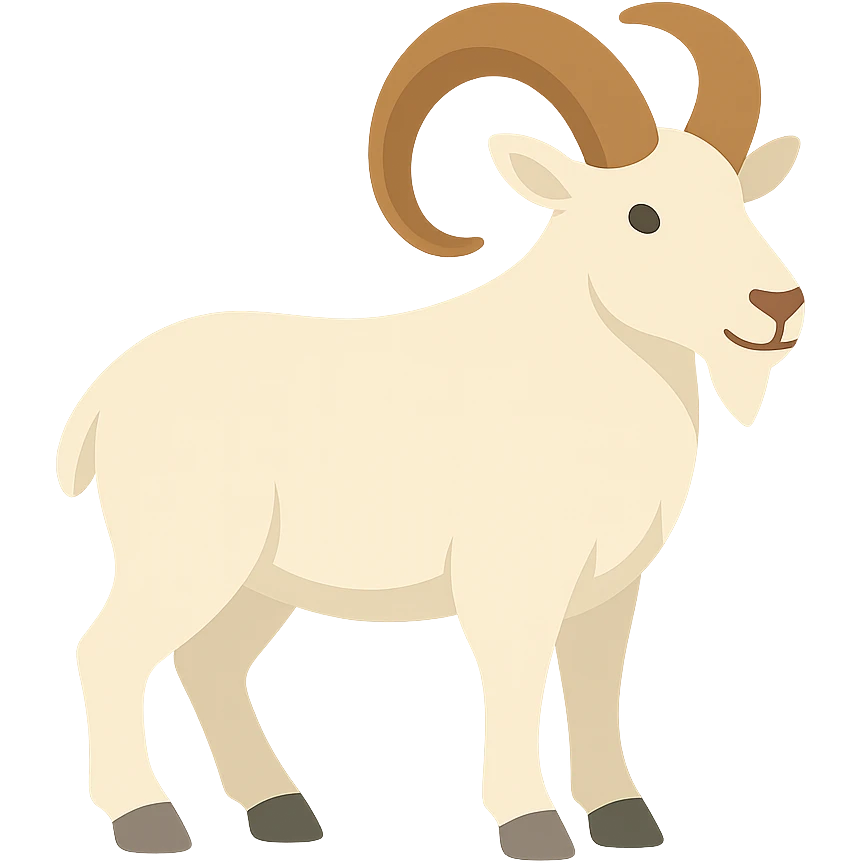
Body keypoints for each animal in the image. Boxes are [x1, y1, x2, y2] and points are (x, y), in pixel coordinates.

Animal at [59, 2, 805, 857]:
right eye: (641, 215)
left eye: (742, 201)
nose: (778, 306)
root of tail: (105, 394)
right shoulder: (511, 580)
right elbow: (515, 681)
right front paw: (532, 827)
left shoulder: (605, 597)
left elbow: (593, 686)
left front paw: (622, 818)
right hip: (184, 557)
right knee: (108, 651)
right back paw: (146, 819)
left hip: (254, 583)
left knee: (209, 662)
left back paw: (280, 812)